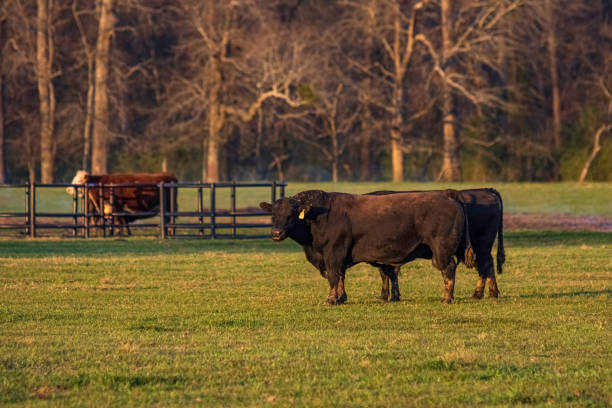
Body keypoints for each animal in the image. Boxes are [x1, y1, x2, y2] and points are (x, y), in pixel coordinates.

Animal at [258, 190, 474, 304]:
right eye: (273, 214)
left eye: (291, 214)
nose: (276, 233)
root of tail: (448, 195)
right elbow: (341, 277)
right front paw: (341, 297)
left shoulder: (333, 253)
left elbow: (334, 276)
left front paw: (332, 299)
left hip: (441, 250)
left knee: (448, 269)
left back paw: (446, 298)